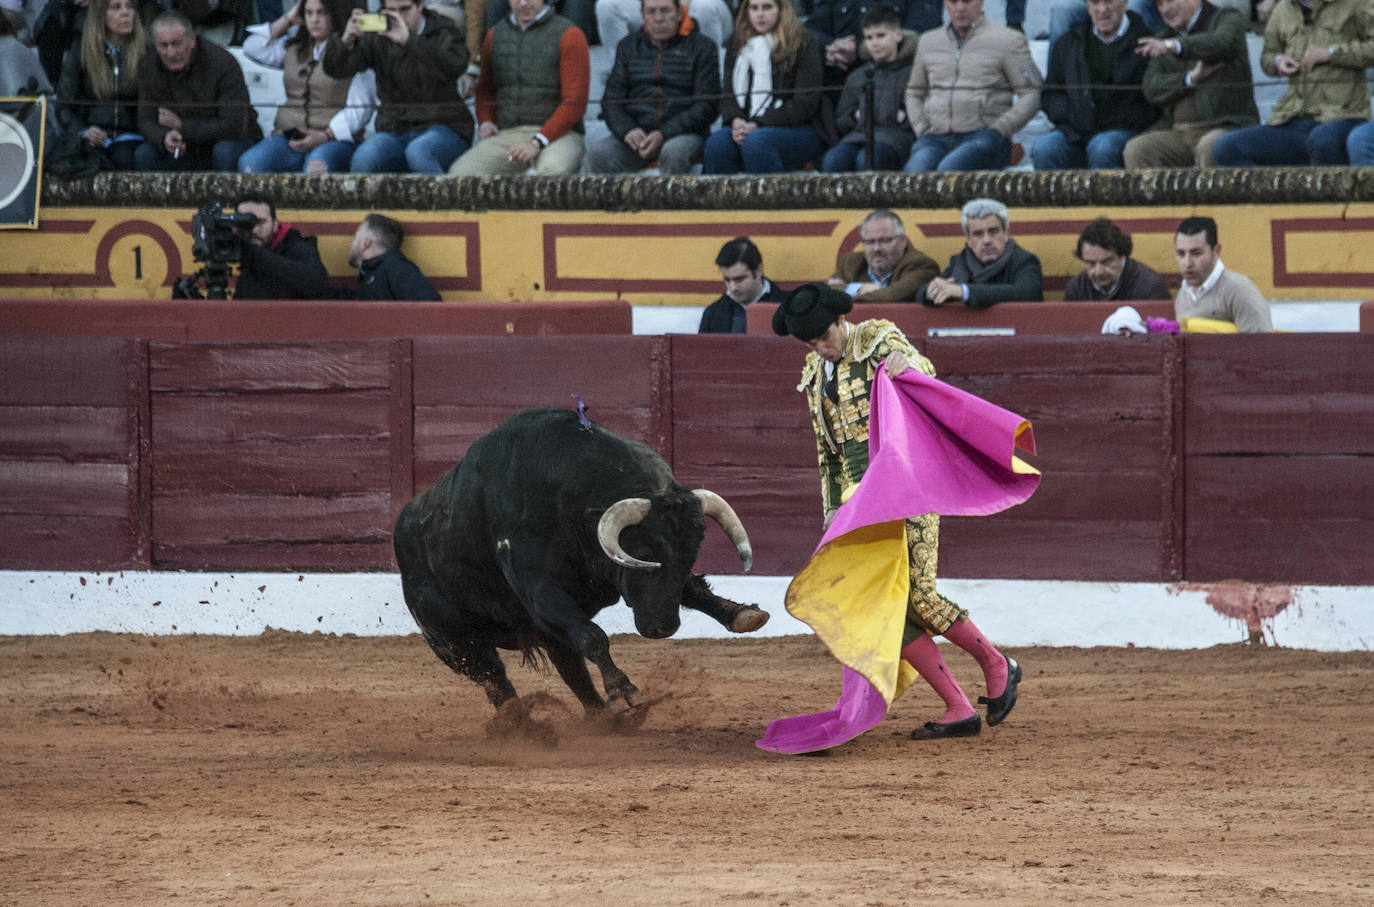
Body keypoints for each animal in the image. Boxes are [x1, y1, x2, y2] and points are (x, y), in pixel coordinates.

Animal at [392, 406, 769, 720]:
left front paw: (741, 613)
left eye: (693, 550)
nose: (663, 627)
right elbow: (594, 636)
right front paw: (624, 692)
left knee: (570, 667)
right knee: (494, 678)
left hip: (545, 632)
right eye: (645, 553)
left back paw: (600, 718)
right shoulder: (541, 590)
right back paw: (523, 728)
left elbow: (692, 588)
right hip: (454, 642)